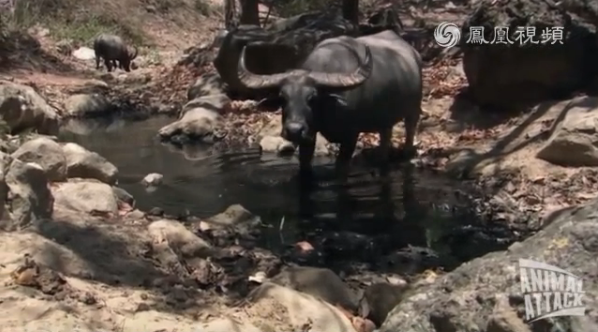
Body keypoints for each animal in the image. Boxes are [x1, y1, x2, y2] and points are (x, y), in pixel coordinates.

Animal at [237, 30, 424, 178]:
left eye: (312, 98)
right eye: (283, 97)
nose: (294, 130)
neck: (328, 109)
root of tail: (414, 53)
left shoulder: (350, 137)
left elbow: (341, 169)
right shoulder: (309, 136)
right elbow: (305, 164)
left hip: (413, 111)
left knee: (410, 131)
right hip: (385, 123)